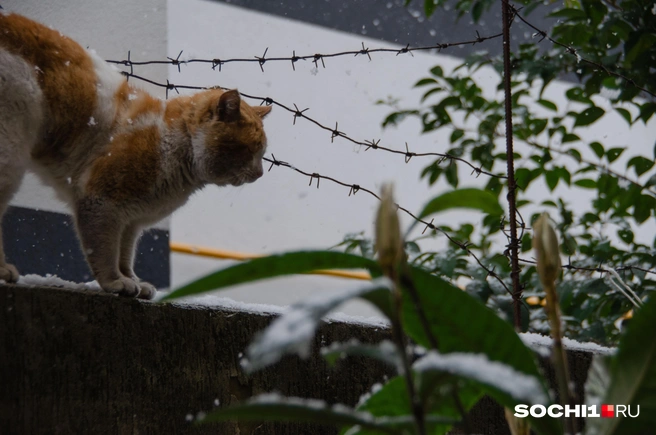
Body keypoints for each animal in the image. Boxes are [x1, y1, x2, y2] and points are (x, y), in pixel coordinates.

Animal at [0, 12, 272, 300]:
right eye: (249, 150)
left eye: (262, 153)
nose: (259, 173)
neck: (173, 145)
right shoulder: (101, 203)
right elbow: (105, 252)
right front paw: (115, 283)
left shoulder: (130, 223)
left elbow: (124, 254)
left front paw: (133, 281)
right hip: (11, 157)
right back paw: (4, 270)